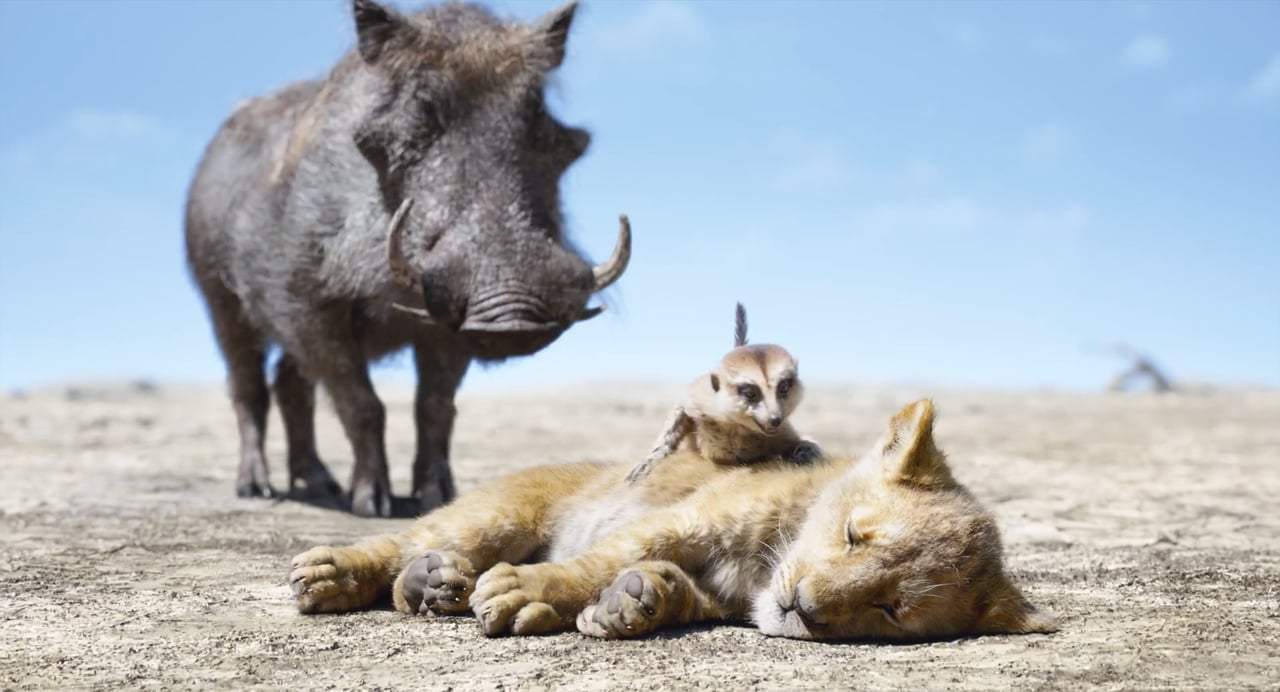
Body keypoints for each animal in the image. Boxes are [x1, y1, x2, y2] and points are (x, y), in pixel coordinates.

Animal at [289, 400, 1056, 640]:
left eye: (891, 608)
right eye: (853, 536)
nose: (802, 607)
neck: (761, 568)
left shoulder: (719, 595)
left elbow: (669, 591)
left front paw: (634, 603)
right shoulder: (679, 522)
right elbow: (592, 563)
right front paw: (530, 591)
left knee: (414, 573)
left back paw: (433, 586)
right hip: (496, 514)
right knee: (402, 542)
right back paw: (329, 574)